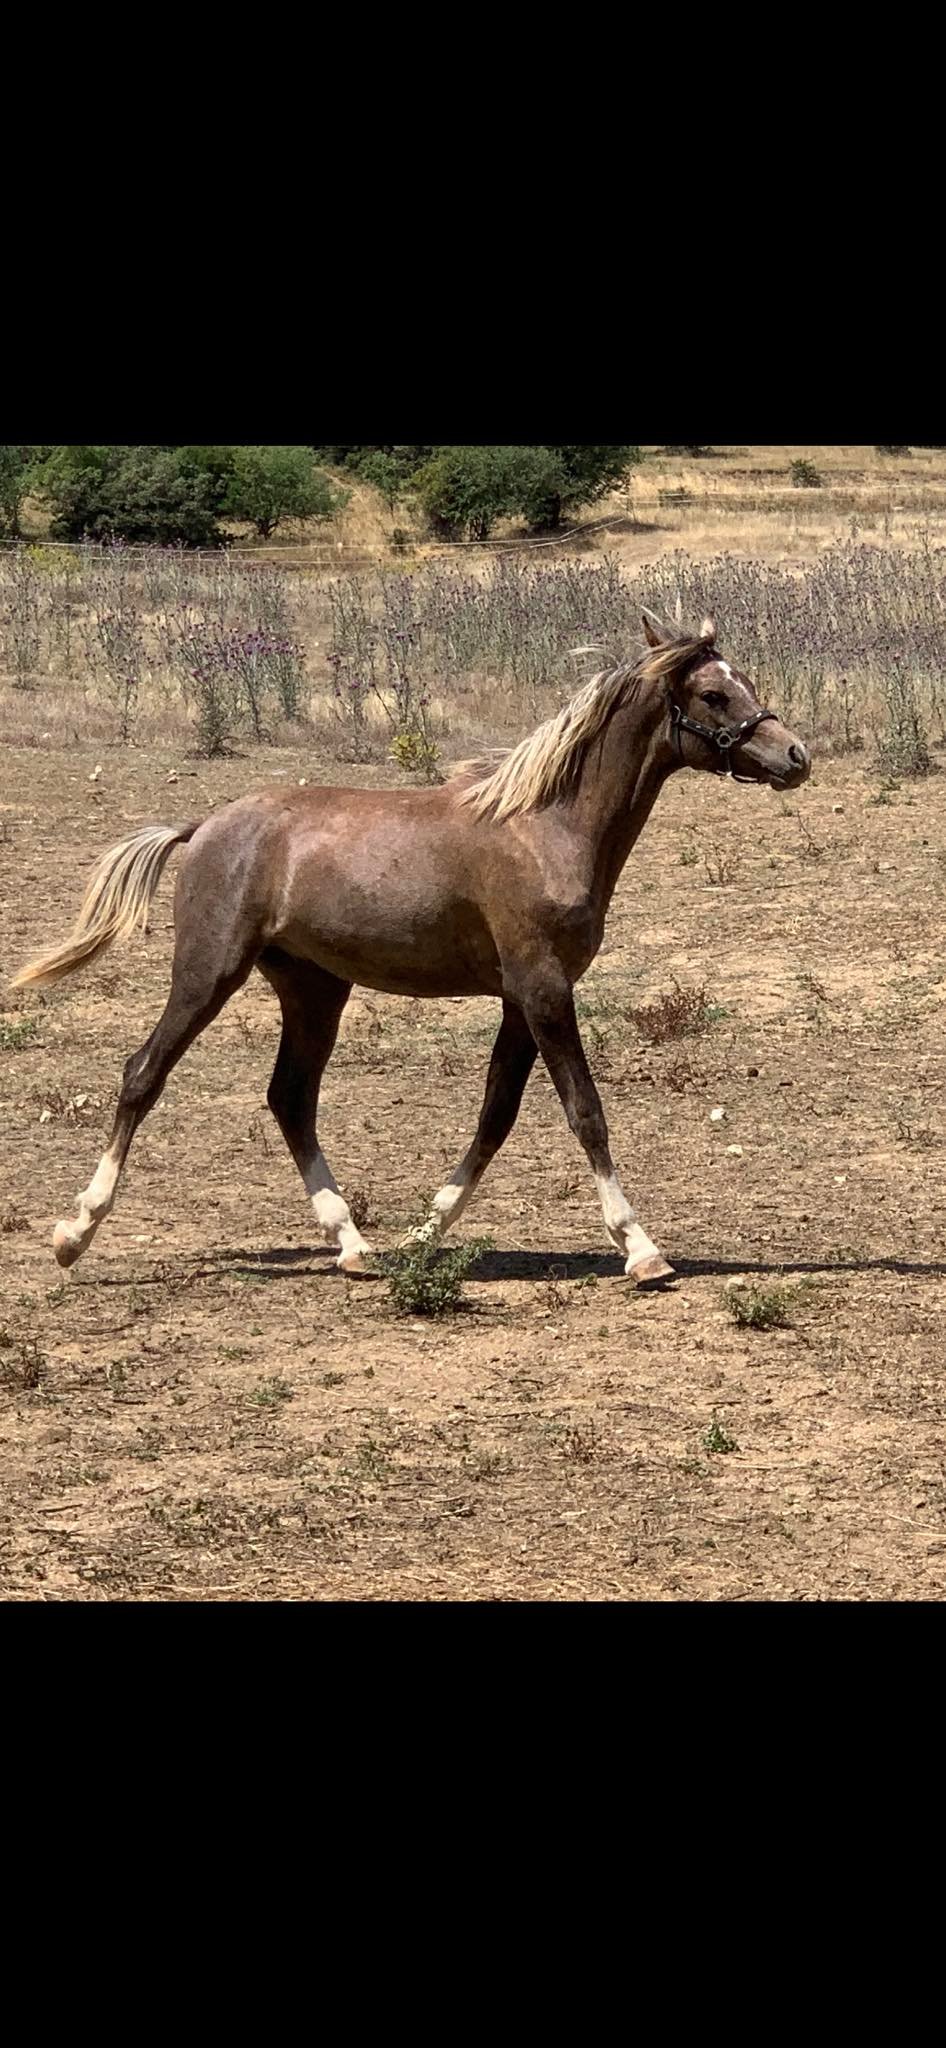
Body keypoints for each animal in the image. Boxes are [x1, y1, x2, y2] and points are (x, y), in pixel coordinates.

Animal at [11, 610, 810, 1289]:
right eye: (712, 692)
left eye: (744, 681)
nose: (794, 755)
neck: (548, 826)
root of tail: (204, 824)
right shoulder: (544, 987)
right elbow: (584, 1110)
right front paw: (641, 1250)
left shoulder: (520, 999)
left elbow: (496, 1116)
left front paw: (424, 1232)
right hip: (208, 971)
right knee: (143, 1074)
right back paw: (75, 1233)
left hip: (313, 990)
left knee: (290, 1098)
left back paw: (353, 1245)